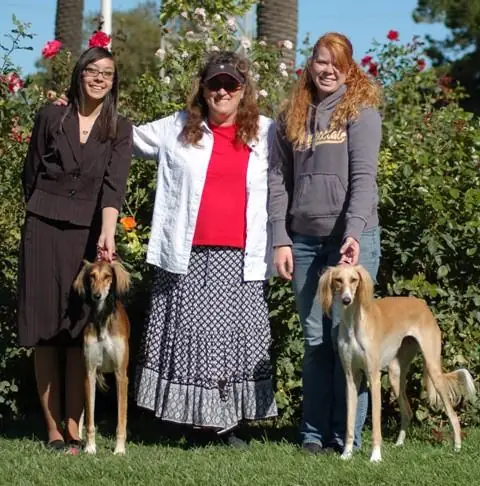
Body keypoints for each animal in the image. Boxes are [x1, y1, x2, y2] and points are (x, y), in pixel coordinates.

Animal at [73, 259, 131, 455]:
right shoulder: (89, 373)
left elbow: (121, 418)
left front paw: (119, 449)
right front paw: (90, 447)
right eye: (92, 276)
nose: (97, 296)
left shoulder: (121, 375)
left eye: (107, 276)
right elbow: (90, 418)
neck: (103, 318)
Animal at [318, 264, 476, 463]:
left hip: (433, 369)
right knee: (407, 411)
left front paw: (375, 457)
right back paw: (399, 443)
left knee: (452, 414)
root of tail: (422, 303)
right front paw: (346, 454)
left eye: (354, 280)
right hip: (395, 374)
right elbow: (349, 423)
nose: (347, 300)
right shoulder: (351, 377)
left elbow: (376, 423)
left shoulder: (374, 377)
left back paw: (457, 446)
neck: (354, 324)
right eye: (338, 280)